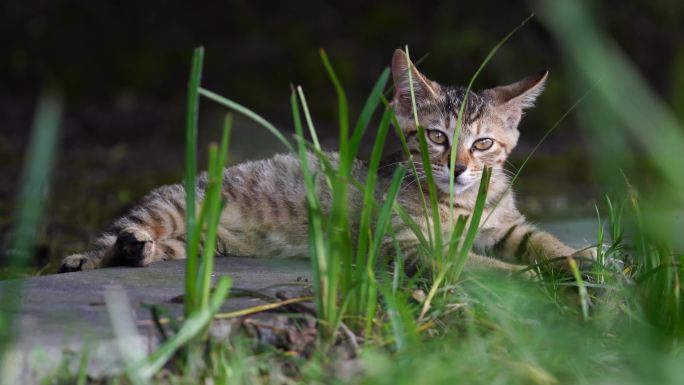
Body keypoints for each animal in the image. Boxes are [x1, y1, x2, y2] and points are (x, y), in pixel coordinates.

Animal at [57, 49, 592, 274]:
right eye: (437, 137)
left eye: (482, 145)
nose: (458, 168)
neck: (461, 205)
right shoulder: (406, 245)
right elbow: (485, 269)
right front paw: (532, 281)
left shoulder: (506, 226)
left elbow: (544, 241)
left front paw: (585, 259)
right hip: (170, 204)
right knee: (111, 235)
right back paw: (95, 254)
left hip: (201, 242)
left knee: (164, 246)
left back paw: (138, 251)